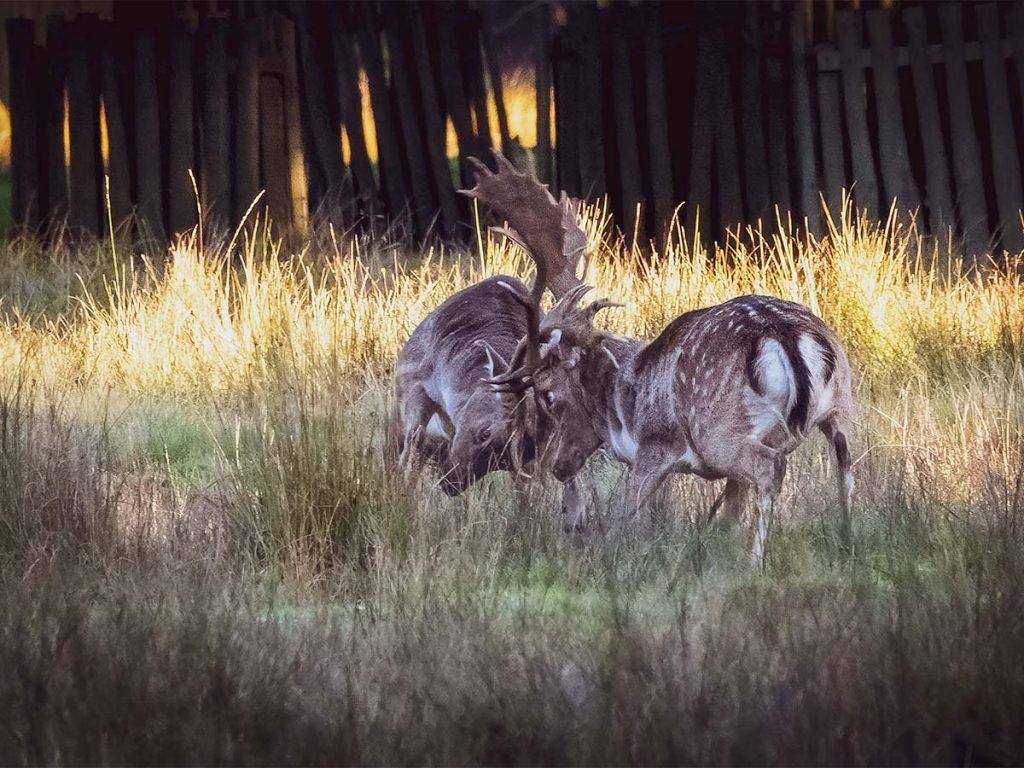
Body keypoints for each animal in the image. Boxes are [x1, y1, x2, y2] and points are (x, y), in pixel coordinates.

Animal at [464, 154, 854, 560]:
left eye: (548, 396)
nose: (559, 467)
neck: (622, 401)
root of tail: (786, 336)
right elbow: (728, 515)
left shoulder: (653, 449)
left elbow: (631, 517)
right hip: (841, 404)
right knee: (844, 464)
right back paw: (848, 542)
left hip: (719, 431)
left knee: (770, 469)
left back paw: (755, 561)